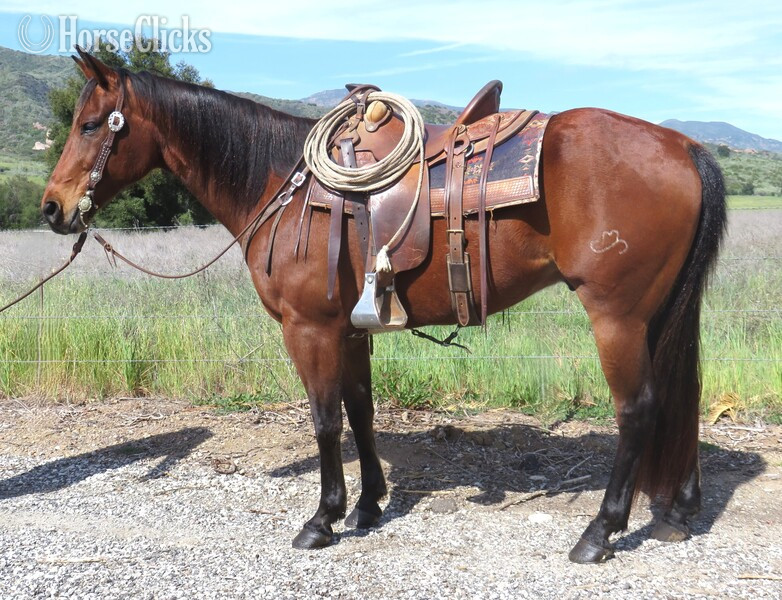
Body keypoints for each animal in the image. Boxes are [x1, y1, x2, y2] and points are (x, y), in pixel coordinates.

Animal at [41, 48, 726, 563]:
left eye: (90, 125)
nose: (52, 207)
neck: (279, 182)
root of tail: (681, 145)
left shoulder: (309, 329)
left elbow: (325, 421)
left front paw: (323, 519)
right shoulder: (350, 330)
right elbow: (362, 412)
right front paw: (369, 505)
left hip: (617, 317)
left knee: (639, 411)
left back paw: (599, 532)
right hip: (658, 314)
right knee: (682, 396)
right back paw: (677, 511)